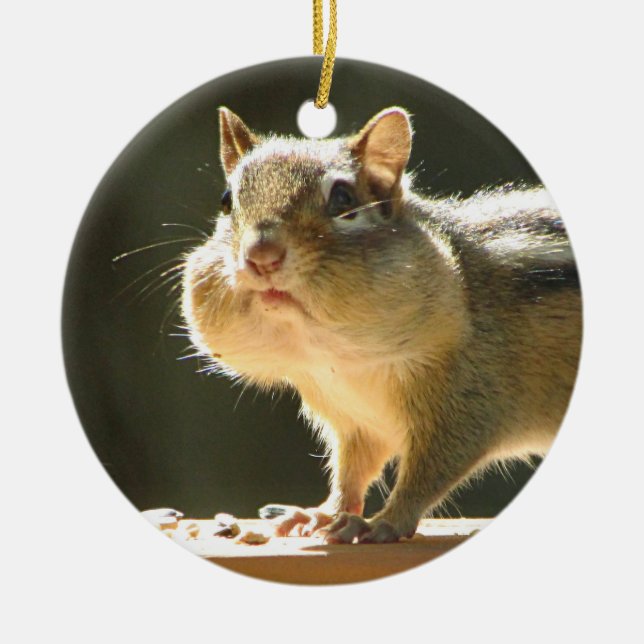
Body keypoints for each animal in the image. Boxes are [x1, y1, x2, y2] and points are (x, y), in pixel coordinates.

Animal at [181, 106, 582, 543]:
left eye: (343, 199)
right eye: (226, 201)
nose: (261, 256)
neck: (337, 357)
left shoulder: (471, 401)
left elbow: (429, 471)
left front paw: (387, 522)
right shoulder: (356, 421)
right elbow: (352, 471)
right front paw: (323, 514)